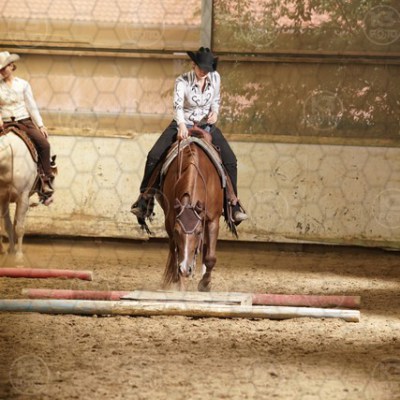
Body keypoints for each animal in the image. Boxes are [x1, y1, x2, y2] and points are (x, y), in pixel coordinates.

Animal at [0, 126, 45, 262]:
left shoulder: (23, 198)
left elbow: (19, 228)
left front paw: (19, 256)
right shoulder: (3, 198)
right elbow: (7, 225)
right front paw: (9, 251)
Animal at [156, 128, 228, 291]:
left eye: (198, 232)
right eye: (177, 231)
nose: (185, 269)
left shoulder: (212, 220)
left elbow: (210, 257)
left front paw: (205, 284)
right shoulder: (170, 220)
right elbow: (175, 251)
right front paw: (179, 282)